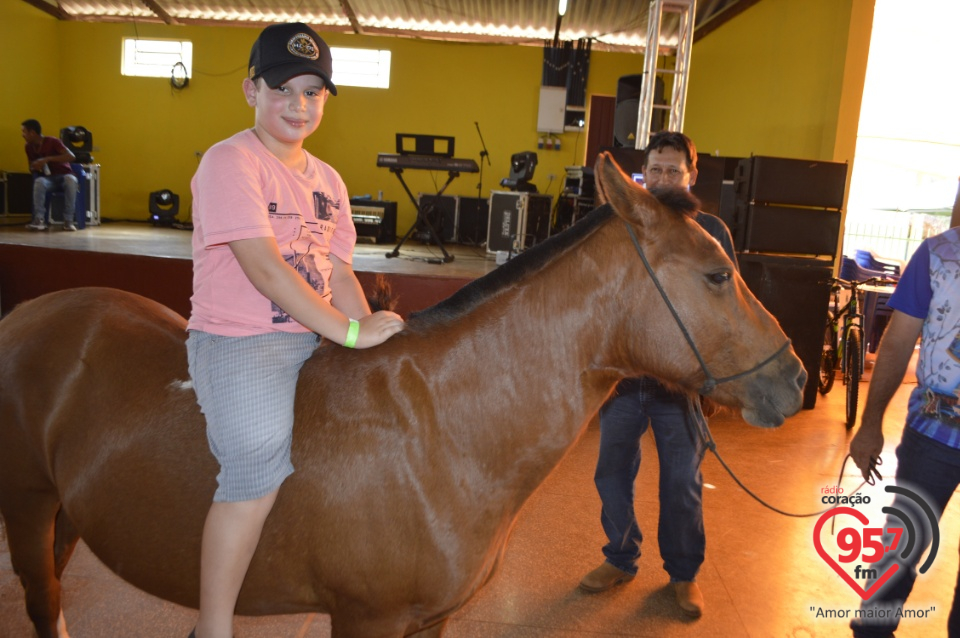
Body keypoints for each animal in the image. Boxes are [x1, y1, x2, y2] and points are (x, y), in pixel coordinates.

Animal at [0, 155, 808, 638]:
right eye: (715, 273)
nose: (797, 378)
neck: (440, 434)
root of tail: (30, 315)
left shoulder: (428, 620)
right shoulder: (369, 619)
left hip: (68, 514)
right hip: (29, 507)